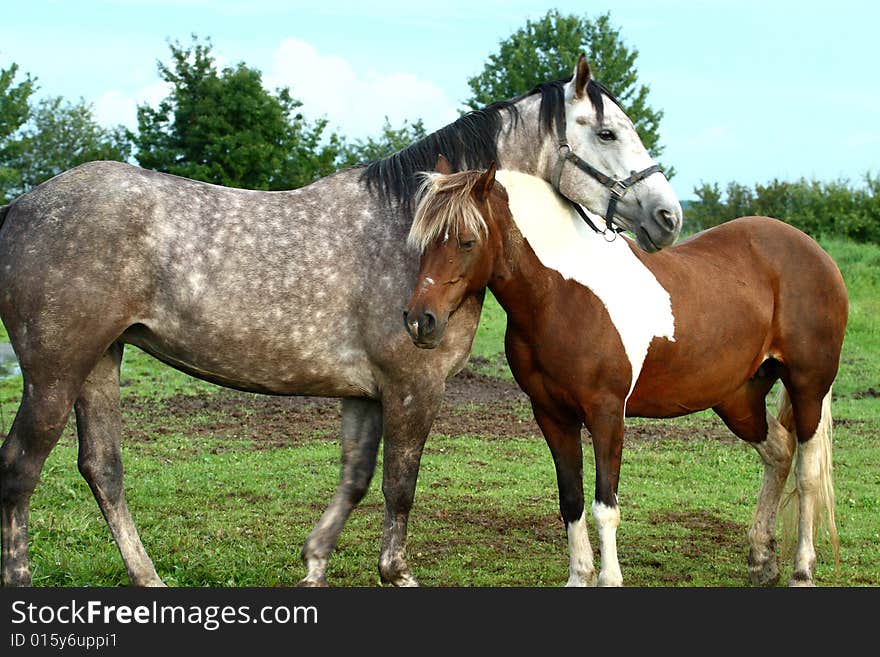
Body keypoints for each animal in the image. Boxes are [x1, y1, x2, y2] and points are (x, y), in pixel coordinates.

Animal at [0, 56, 684, 588]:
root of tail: (21, 207)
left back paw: (149, 579)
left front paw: (312, 564)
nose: (668, 216)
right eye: (605, 133)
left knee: (102, 469)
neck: (413, 231)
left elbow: (355, 480)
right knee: (21, 469)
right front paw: (396, 572)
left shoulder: (364, 394)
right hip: (55, 373)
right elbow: (400, 484)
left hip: (101, 360)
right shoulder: (412, 386)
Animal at [402, 160, 848, 584]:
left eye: (467, 241)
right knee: (779, 451)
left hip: (807, 387)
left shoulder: (606, 414)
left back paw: (801, 571)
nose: (420, 321)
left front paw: (608, 578)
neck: (563, 294)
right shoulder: (551, 415)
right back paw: (761, 561)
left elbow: (605, 505)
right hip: (739, 398)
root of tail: (813, 252)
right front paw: (579, 576)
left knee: (807, 473)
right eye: (420, 242)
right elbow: (572, 501)